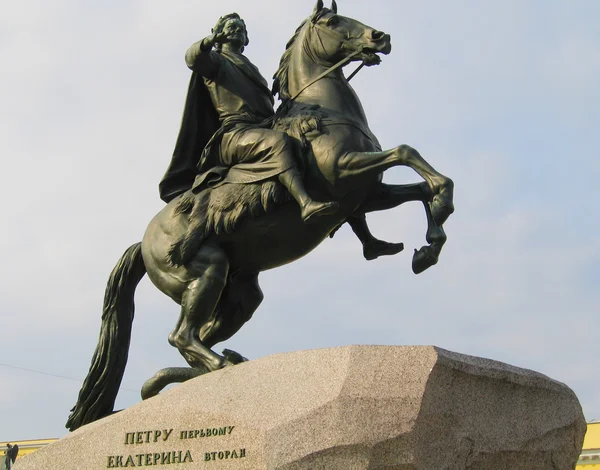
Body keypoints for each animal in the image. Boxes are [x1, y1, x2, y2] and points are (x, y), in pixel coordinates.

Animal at [65, 0, 454, 432]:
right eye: (333, 21)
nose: (380, 38)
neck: (320, 110)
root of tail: (143, 241)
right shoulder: (345, 171)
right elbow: (407, 152)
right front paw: (210, 40)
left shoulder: (366, 194)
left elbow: (422, 188)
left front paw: (429, 245)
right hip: (205, 270)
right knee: (182, 335)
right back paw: (217, 366)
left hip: (240, 296)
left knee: (200, 335)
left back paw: (206, 368)